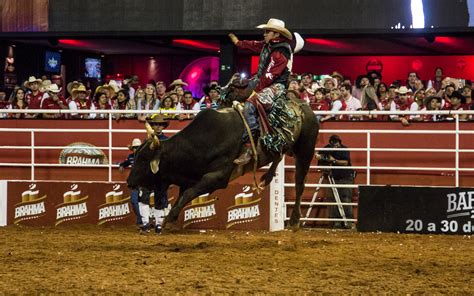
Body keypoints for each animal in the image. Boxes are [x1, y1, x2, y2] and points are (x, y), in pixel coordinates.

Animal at [127, 75, 318, 231]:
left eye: (144, 160)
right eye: (136, 157)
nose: (129, 182)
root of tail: (303, 107)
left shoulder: (218, 177)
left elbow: (189, 194)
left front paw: (168, 220)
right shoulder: (189, 178)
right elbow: (182, 196)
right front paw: (170, 217)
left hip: (305, 151)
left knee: (300, 184)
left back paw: (294, 221)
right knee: (279, 155)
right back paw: (268, 177)